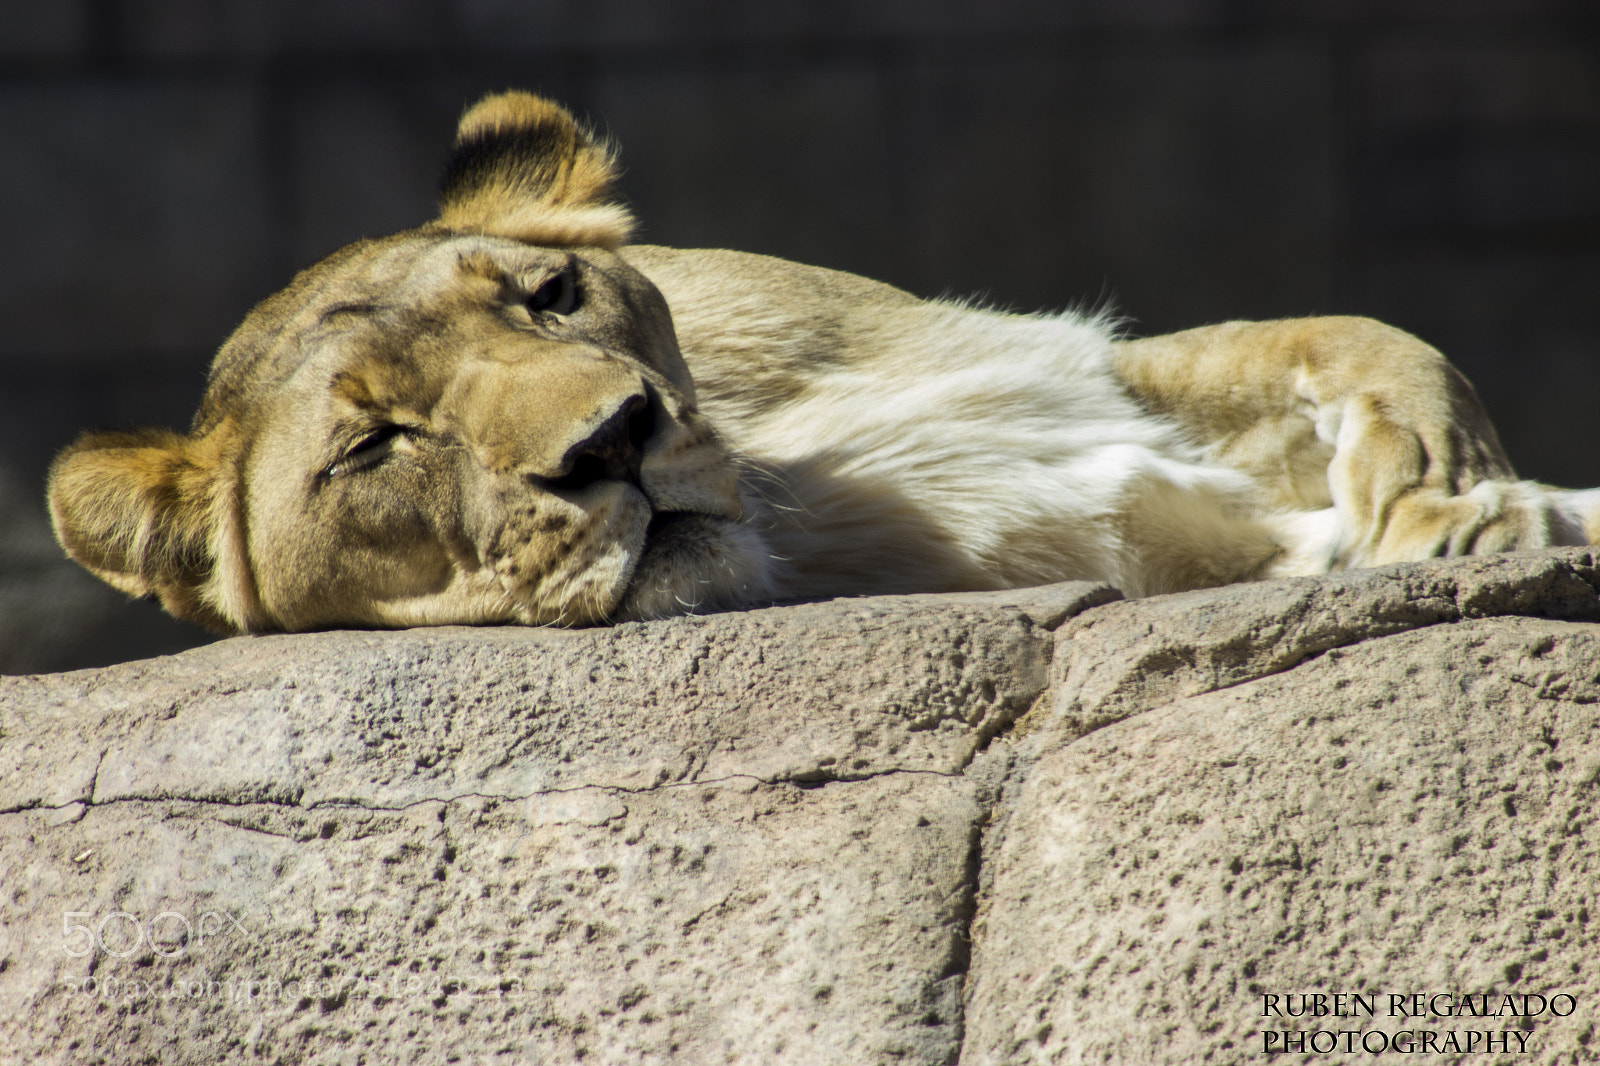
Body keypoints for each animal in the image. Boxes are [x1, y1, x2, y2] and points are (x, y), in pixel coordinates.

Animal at [46, 91, 1600, 635]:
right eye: (374, 445)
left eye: (550, 293)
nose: (612, 439)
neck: (800, 476)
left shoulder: (1085, 372)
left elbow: (1365, 339)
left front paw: (1456, 498)